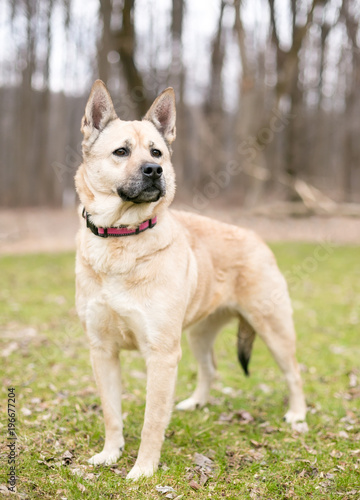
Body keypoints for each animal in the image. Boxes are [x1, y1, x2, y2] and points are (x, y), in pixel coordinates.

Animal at [74, 81, 306, 480]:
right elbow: (111, 413)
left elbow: (152, 420)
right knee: (210, 369)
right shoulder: (102, 351)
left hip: (272, 328)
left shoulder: (162, 355)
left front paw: (143, 469)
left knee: (294, 372)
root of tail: (256, 237)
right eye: (121, 151)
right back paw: (196, 403)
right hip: (198, 334)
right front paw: (110, 453)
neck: (122, 237)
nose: (154, 170)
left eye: (157, 152)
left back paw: (297, 415)